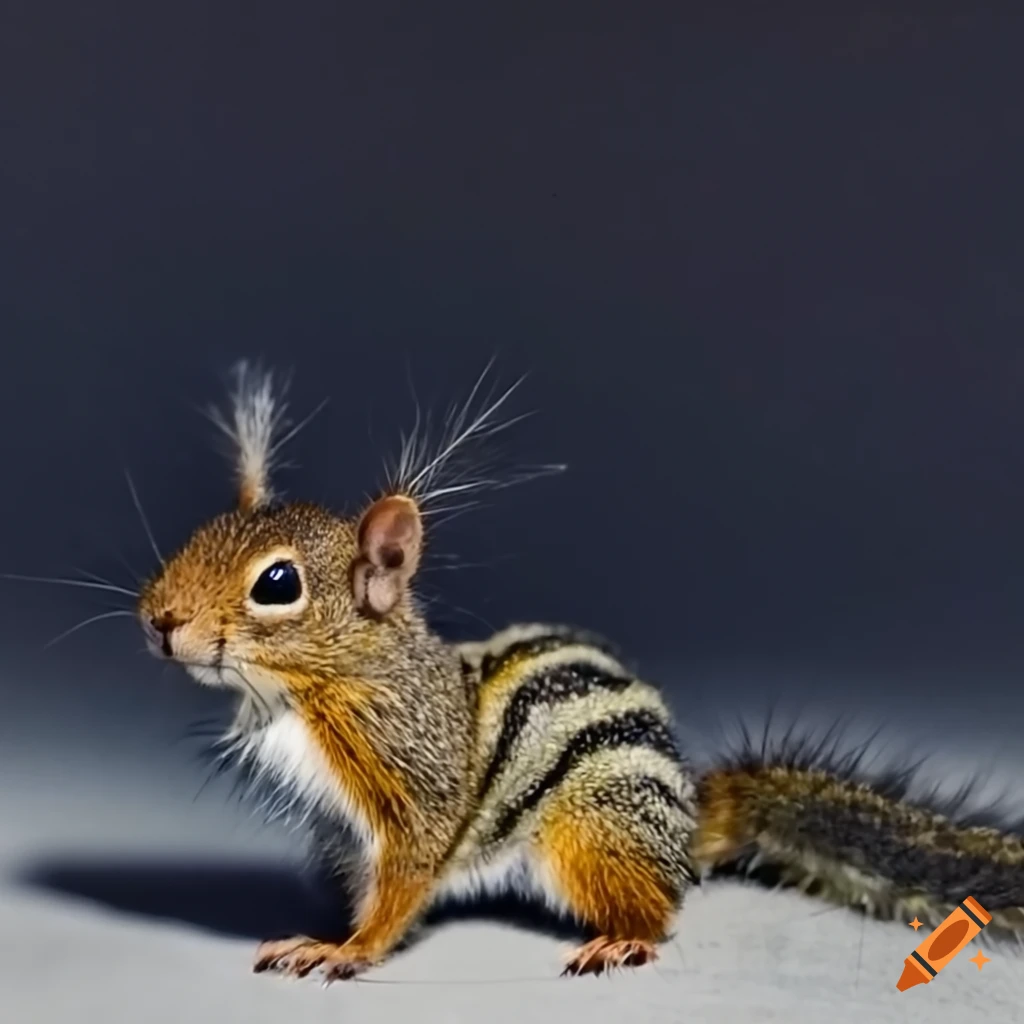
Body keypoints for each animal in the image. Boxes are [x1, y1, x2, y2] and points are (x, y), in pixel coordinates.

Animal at [136, 362, 1024, 983]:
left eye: (277, 584)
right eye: (199, 536)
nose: (158, 619)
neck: (310, 692)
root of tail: (687, 817)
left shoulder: (413, 791)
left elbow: (405, 887)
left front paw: (346, 950)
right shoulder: (347, 835)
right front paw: (329, 932)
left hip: (591, 829)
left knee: (659, 909)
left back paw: (622, 941)